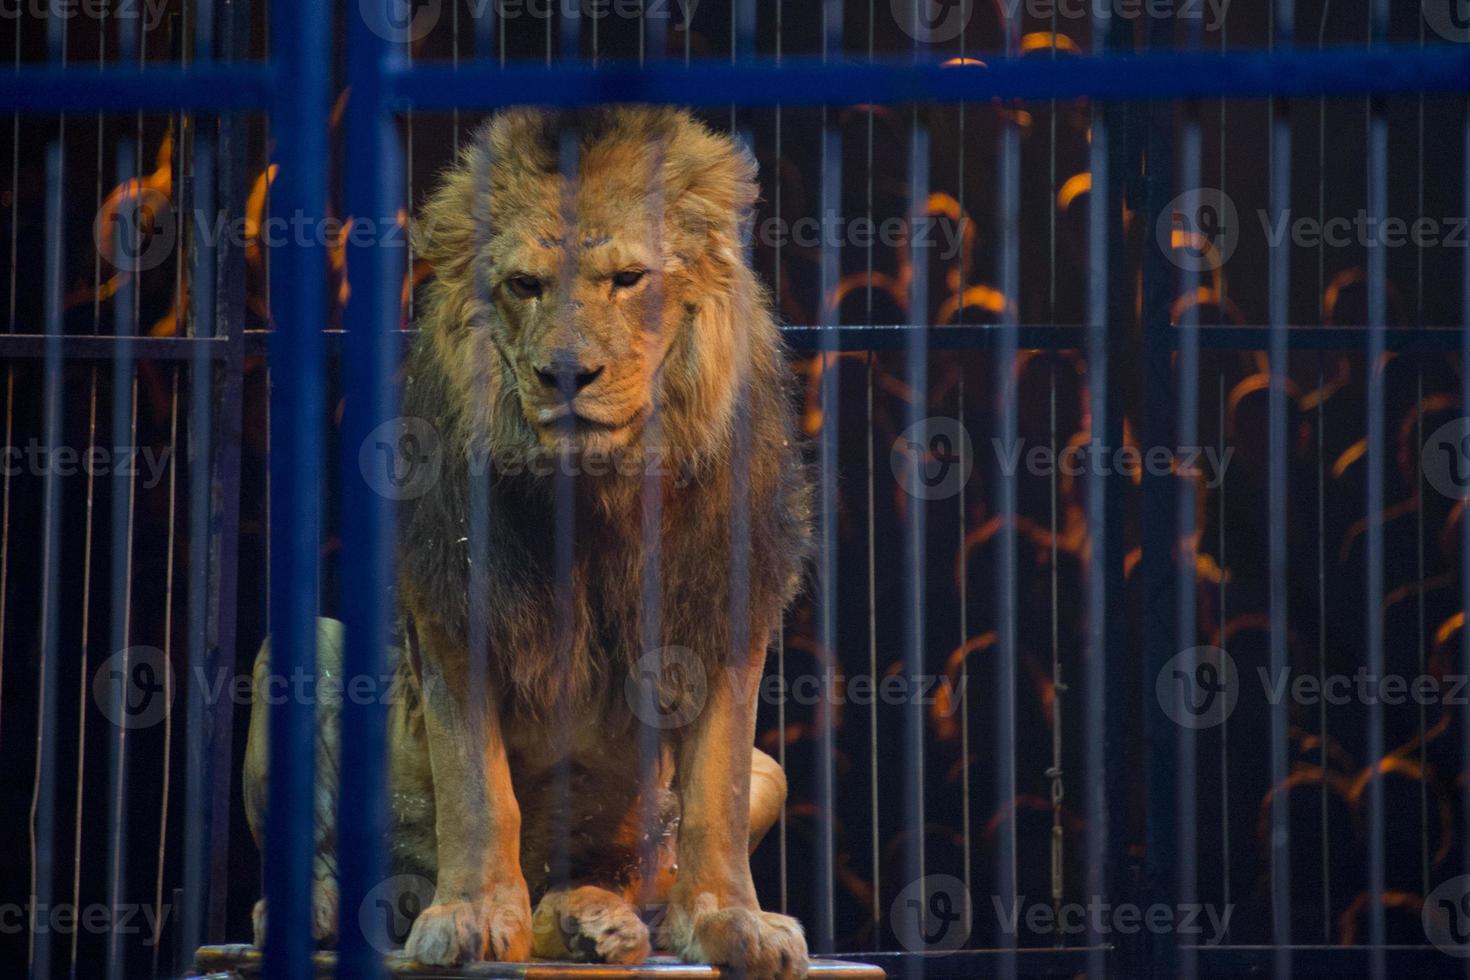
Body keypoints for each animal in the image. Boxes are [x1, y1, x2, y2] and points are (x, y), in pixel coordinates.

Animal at [244, 107, 817, 980]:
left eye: (628, 279)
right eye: (525, 286)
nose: (565, 374)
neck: (599, 492)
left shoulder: (721, 607)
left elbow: (712, 799)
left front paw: (733, 922)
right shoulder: (455, 610)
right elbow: (479, 795)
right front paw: (474, 914)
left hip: (769, 774)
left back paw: (595, 922)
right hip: (296, 648)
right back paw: (330, 910)